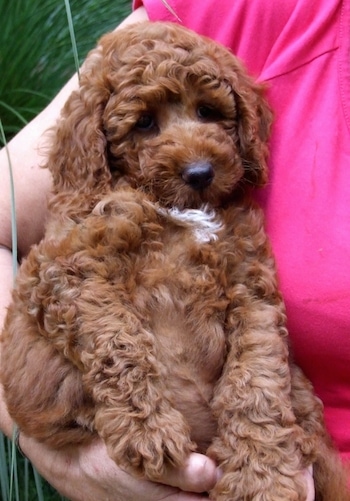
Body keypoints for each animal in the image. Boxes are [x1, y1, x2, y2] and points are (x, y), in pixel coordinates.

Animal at [1, 20, 348, 500]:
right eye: (144, 123)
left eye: (207, 111)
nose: (200, 172)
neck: (180, 207)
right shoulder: (71, 272)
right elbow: (118, 342)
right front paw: (149, 429)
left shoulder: (250, 285)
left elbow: (257, 377)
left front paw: (263, 476)